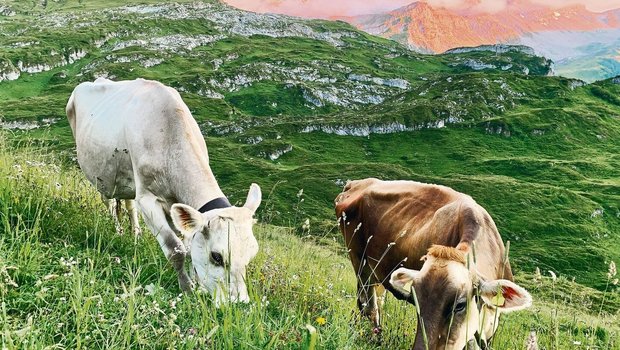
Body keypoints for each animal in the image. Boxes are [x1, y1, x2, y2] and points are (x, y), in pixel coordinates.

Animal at [66, 78, 260, 302]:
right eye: (217, 256)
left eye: (252, 254)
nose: (239, 303)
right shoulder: (147, 200)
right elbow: (176, 249)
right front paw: (187, 289)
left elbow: (188, 246)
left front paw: (196, 284)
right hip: (100, 177)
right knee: (109, 202)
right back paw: (118, 230)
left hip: (127, 178)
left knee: (128, 204)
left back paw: (135, 235)